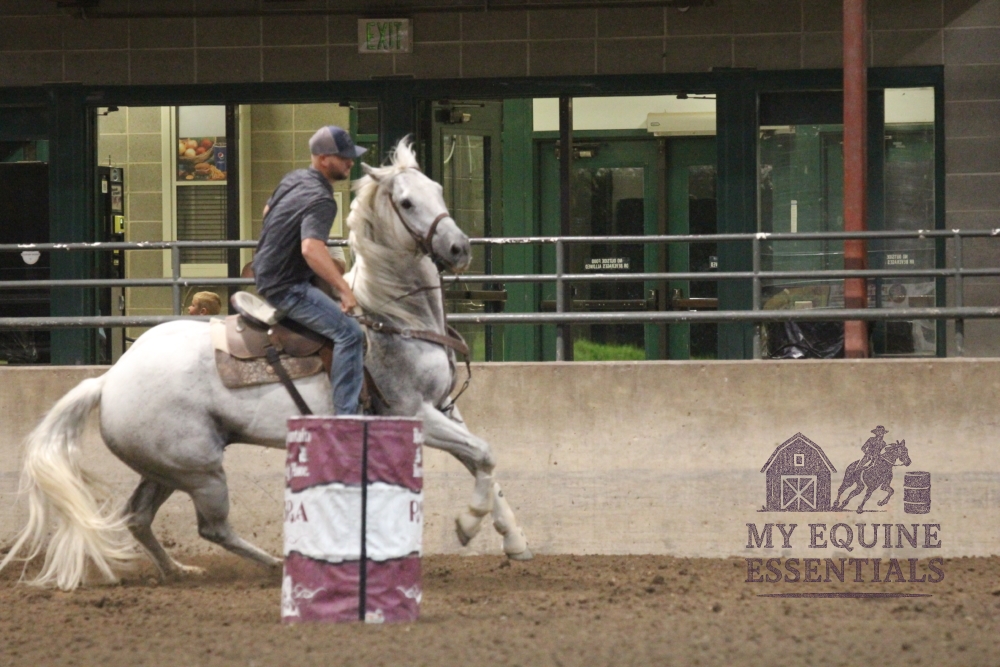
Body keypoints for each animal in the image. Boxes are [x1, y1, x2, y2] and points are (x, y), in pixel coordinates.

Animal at [0, 139, 531, 590]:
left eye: (437, 189)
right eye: (405, 203)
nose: (459, 247)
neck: (393, 317)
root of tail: (109, 379)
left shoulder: (445, 408)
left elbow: (484, 463)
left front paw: (514, 540)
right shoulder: (411, 412)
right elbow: (484, 455)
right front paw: (466, 524)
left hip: (167, 468)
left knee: (139, 516)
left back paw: (180, 571)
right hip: (202, 471)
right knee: (213, 527)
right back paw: (277, 565)